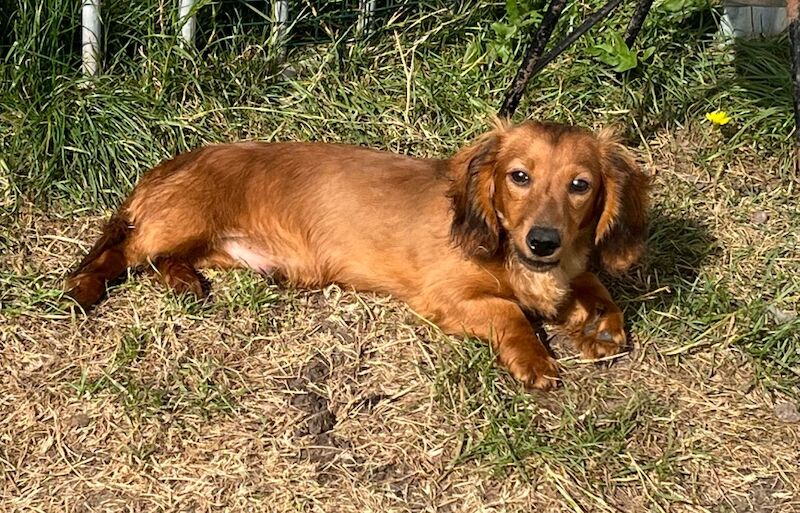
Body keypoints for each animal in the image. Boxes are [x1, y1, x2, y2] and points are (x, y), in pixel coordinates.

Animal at [64, 118, 648, 388]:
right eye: (519, 177)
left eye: (580, 185)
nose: (543, 241)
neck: (512, 253)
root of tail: (168, 165)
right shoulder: (445, 296)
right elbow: (510, 312)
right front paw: (535, 359)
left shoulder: (570, 270)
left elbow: (597, 288)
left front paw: (600, 328)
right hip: (179, 221)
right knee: (121, 250)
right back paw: (83, 287)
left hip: (213, 246)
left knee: (161, 259)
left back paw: (184, 281)